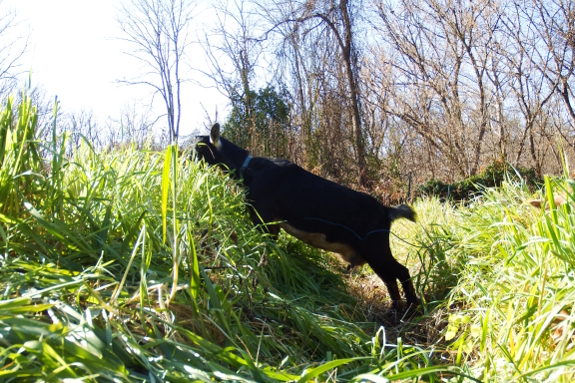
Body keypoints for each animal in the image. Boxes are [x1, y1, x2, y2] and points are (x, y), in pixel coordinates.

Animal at [197, 124, 418, 310]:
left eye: (199, 147)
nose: (187, 157)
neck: (249, 169)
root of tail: (386, 211)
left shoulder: (264, 221)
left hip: (376, 250)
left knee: (401, 272)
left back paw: (412, 308)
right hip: (373, 255)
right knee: (389, 279)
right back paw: (395, 310)